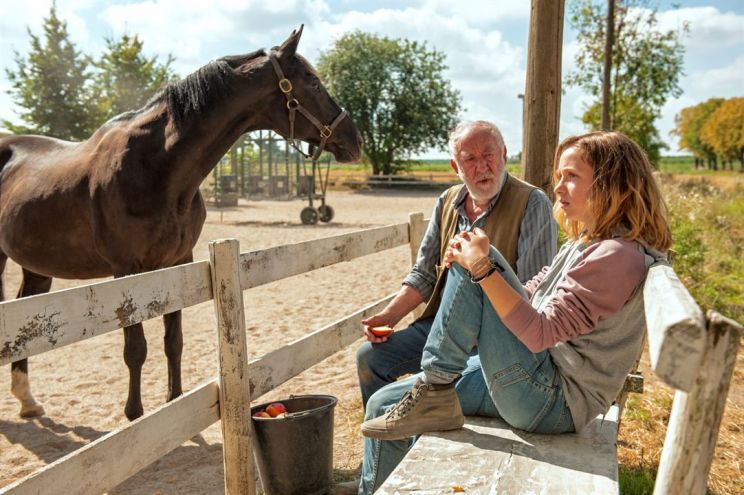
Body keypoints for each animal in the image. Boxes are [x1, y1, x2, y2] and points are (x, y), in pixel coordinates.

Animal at [0, 27, 360, 420]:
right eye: (312, 80)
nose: (354, 139)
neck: (158, 169)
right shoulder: (127, 272)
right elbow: (136, 350)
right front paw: (136, 415)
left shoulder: (178, 263)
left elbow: (174, 341)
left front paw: (175, 401)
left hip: (37, 267)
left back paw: (28, 401)